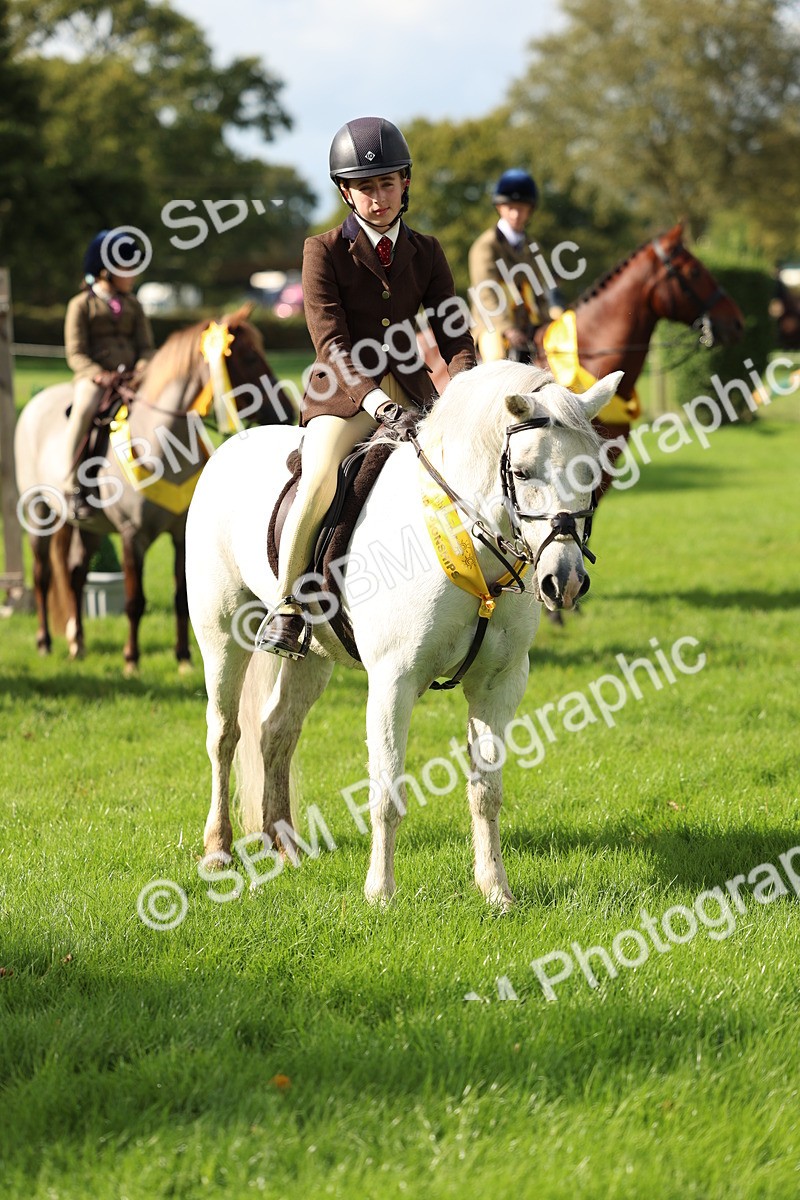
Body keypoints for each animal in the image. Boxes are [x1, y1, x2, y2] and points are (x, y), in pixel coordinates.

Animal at [14, 304, 294, 671]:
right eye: (247, 357)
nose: (287, 411)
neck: (163, 445)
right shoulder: (132, 536)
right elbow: (135, 600)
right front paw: (131, 659)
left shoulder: (179, 535)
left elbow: (180, 599)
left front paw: (183, 659)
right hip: (39, 513)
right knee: (43, 575)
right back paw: (45, 642)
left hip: (89, 528)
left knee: (75, 574)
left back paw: (78, 645)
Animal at [185, 359, 623, 908]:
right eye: (522, 472)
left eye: (591, 475)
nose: (563, 581)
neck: (466, 544)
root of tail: (228, 449)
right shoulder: (393, 682)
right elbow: (387, 791)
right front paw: (381, 893)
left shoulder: (499, 685)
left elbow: (487, 792)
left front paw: (496, 891)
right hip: (221, 634)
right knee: (224, 735)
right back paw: (218, 851)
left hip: (315, 657)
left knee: (276, 732)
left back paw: (284, 845)